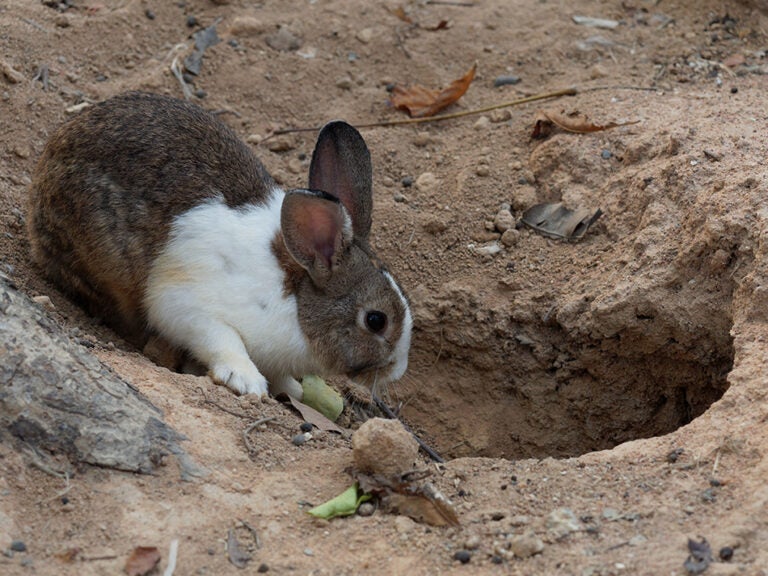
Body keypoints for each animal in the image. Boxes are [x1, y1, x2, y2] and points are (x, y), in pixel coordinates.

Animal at [28, 92, 414, 398]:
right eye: (376, 320)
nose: (397, 370)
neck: (296, 301)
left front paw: (291, 389)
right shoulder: (191, 306)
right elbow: (223, 340)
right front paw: (246, 380)